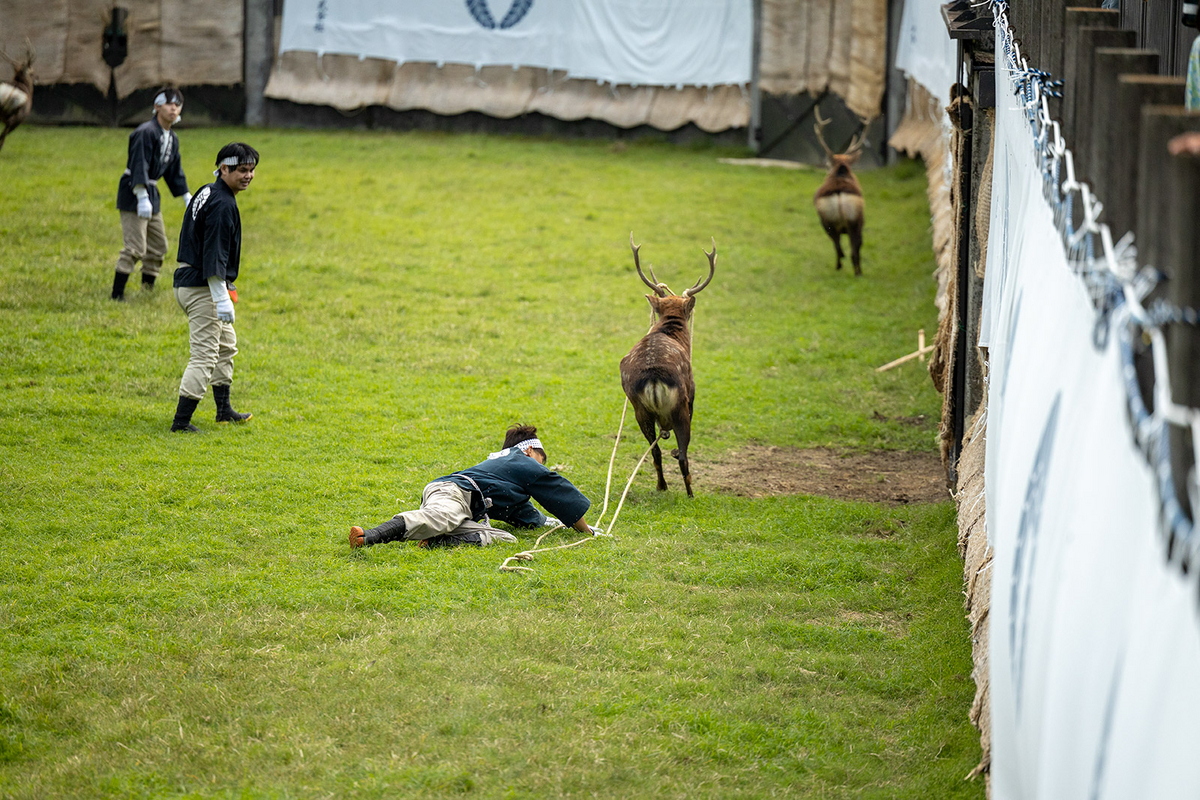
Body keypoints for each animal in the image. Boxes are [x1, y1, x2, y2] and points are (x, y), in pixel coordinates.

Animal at [619, 231, 710, 496]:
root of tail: (653, 376)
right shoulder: (693, 392)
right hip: (680, 407)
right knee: (683, 456)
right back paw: (690, 494)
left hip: (639, 410)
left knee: (655, 452)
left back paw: (662, 486)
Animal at [811, 109, 868, 277]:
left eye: (827, 164)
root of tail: (838, 193)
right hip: (854, 220)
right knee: (853, 248)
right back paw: (855, 272)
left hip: (828, 221)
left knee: (839, 245)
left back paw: (842, 267)